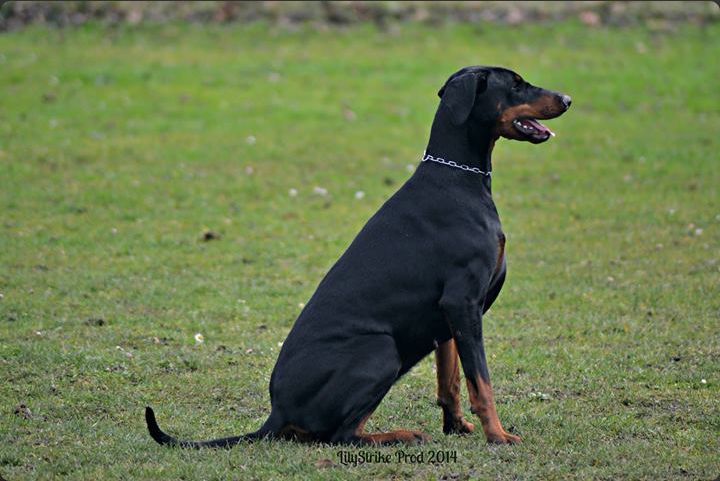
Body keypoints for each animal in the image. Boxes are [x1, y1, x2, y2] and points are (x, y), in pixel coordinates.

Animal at [146, 64, 572, 446]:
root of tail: (277, 413)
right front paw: (498, 436)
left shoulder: (450, 315)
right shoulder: (463, 301)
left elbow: (450, 381)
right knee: (341, 436)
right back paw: (400, 435)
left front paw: (457, 428)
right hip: (381, 350)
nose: (568, 99)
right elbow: (480, 382)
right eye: (516, 84)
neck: (458, 178)